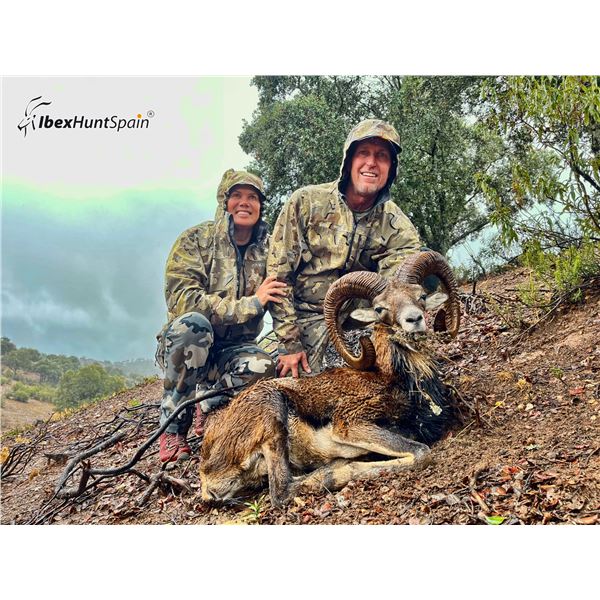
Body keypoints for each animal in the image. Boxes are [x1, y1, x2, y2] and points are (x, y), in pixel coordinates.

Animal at [199, 250, 461, 507]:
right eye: (379, 308)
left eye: (421, 296)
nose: (414, 320)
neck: (403, 382)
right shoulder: (351, 425)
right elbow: (421, 453)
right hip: (272, 412)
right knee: (283, 491)